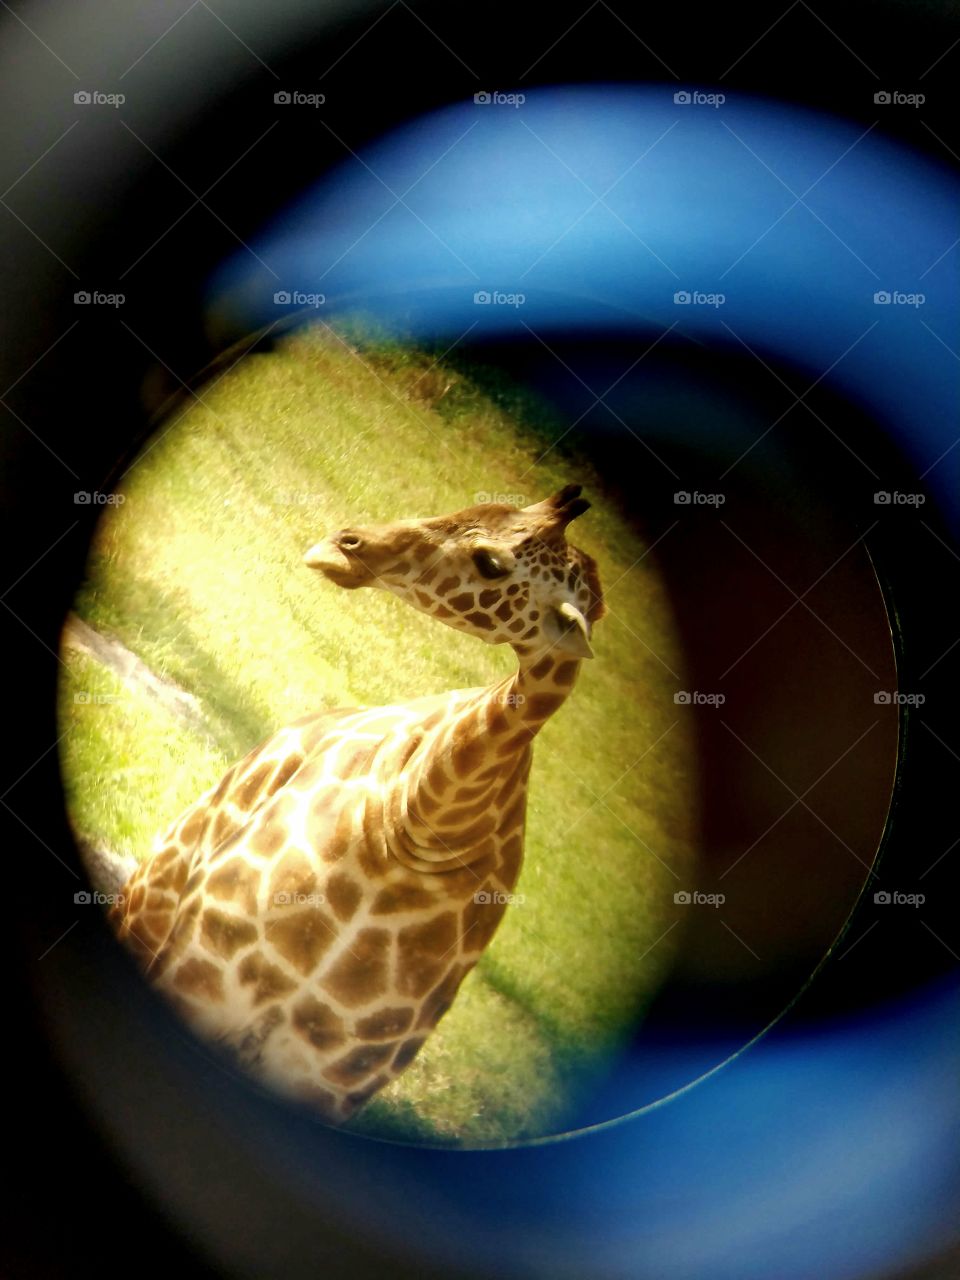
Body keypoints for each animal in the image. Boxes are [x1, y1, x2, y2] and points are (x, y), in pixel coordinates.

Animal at [108, 484, 605, 1125]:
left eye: (490, 563)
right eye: (478, 507)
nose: (345, 544)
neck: (414, 828)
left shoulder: (326, 1079)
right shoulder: (200, 974)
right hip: (149, 906)